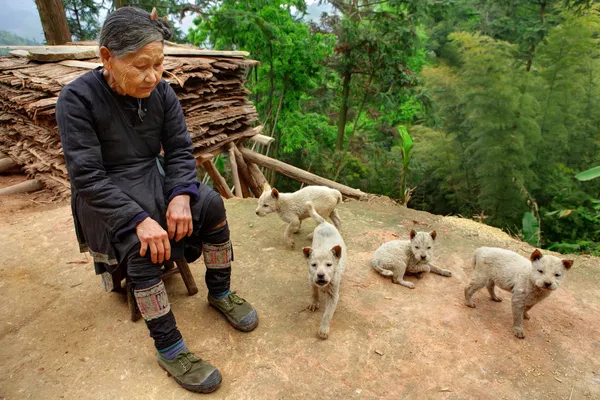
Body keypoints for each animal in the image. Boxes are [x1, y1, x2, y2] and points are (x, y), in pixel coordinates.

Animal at [302, 202, 344, 340]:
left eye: (329, 265)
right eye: (314, 265)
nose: (320, 275)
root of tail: (325, 223)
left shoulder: (334, 294)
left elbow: (327, 314)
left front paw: (323, 330)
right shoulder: (311, 278)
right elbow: (314, 292)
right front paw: (314, 303)